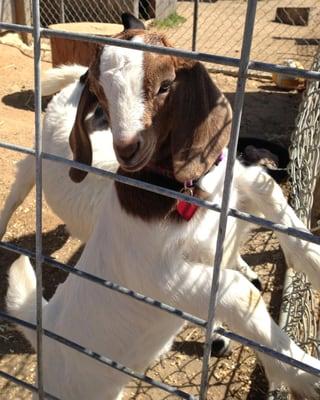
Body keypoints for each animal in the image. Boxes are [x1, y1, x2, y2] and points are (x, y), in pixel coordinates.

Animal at [3, 13, 320, 400]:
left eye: (166, 85)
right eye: (101, 95)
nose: (128, 148)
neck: (182, 194)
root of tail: (45, 332)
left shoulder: (235, 185)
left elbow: (272, 196)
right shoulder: (158, 275)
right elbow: (237, 292)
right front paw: (306, 374)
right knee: (18, 186)